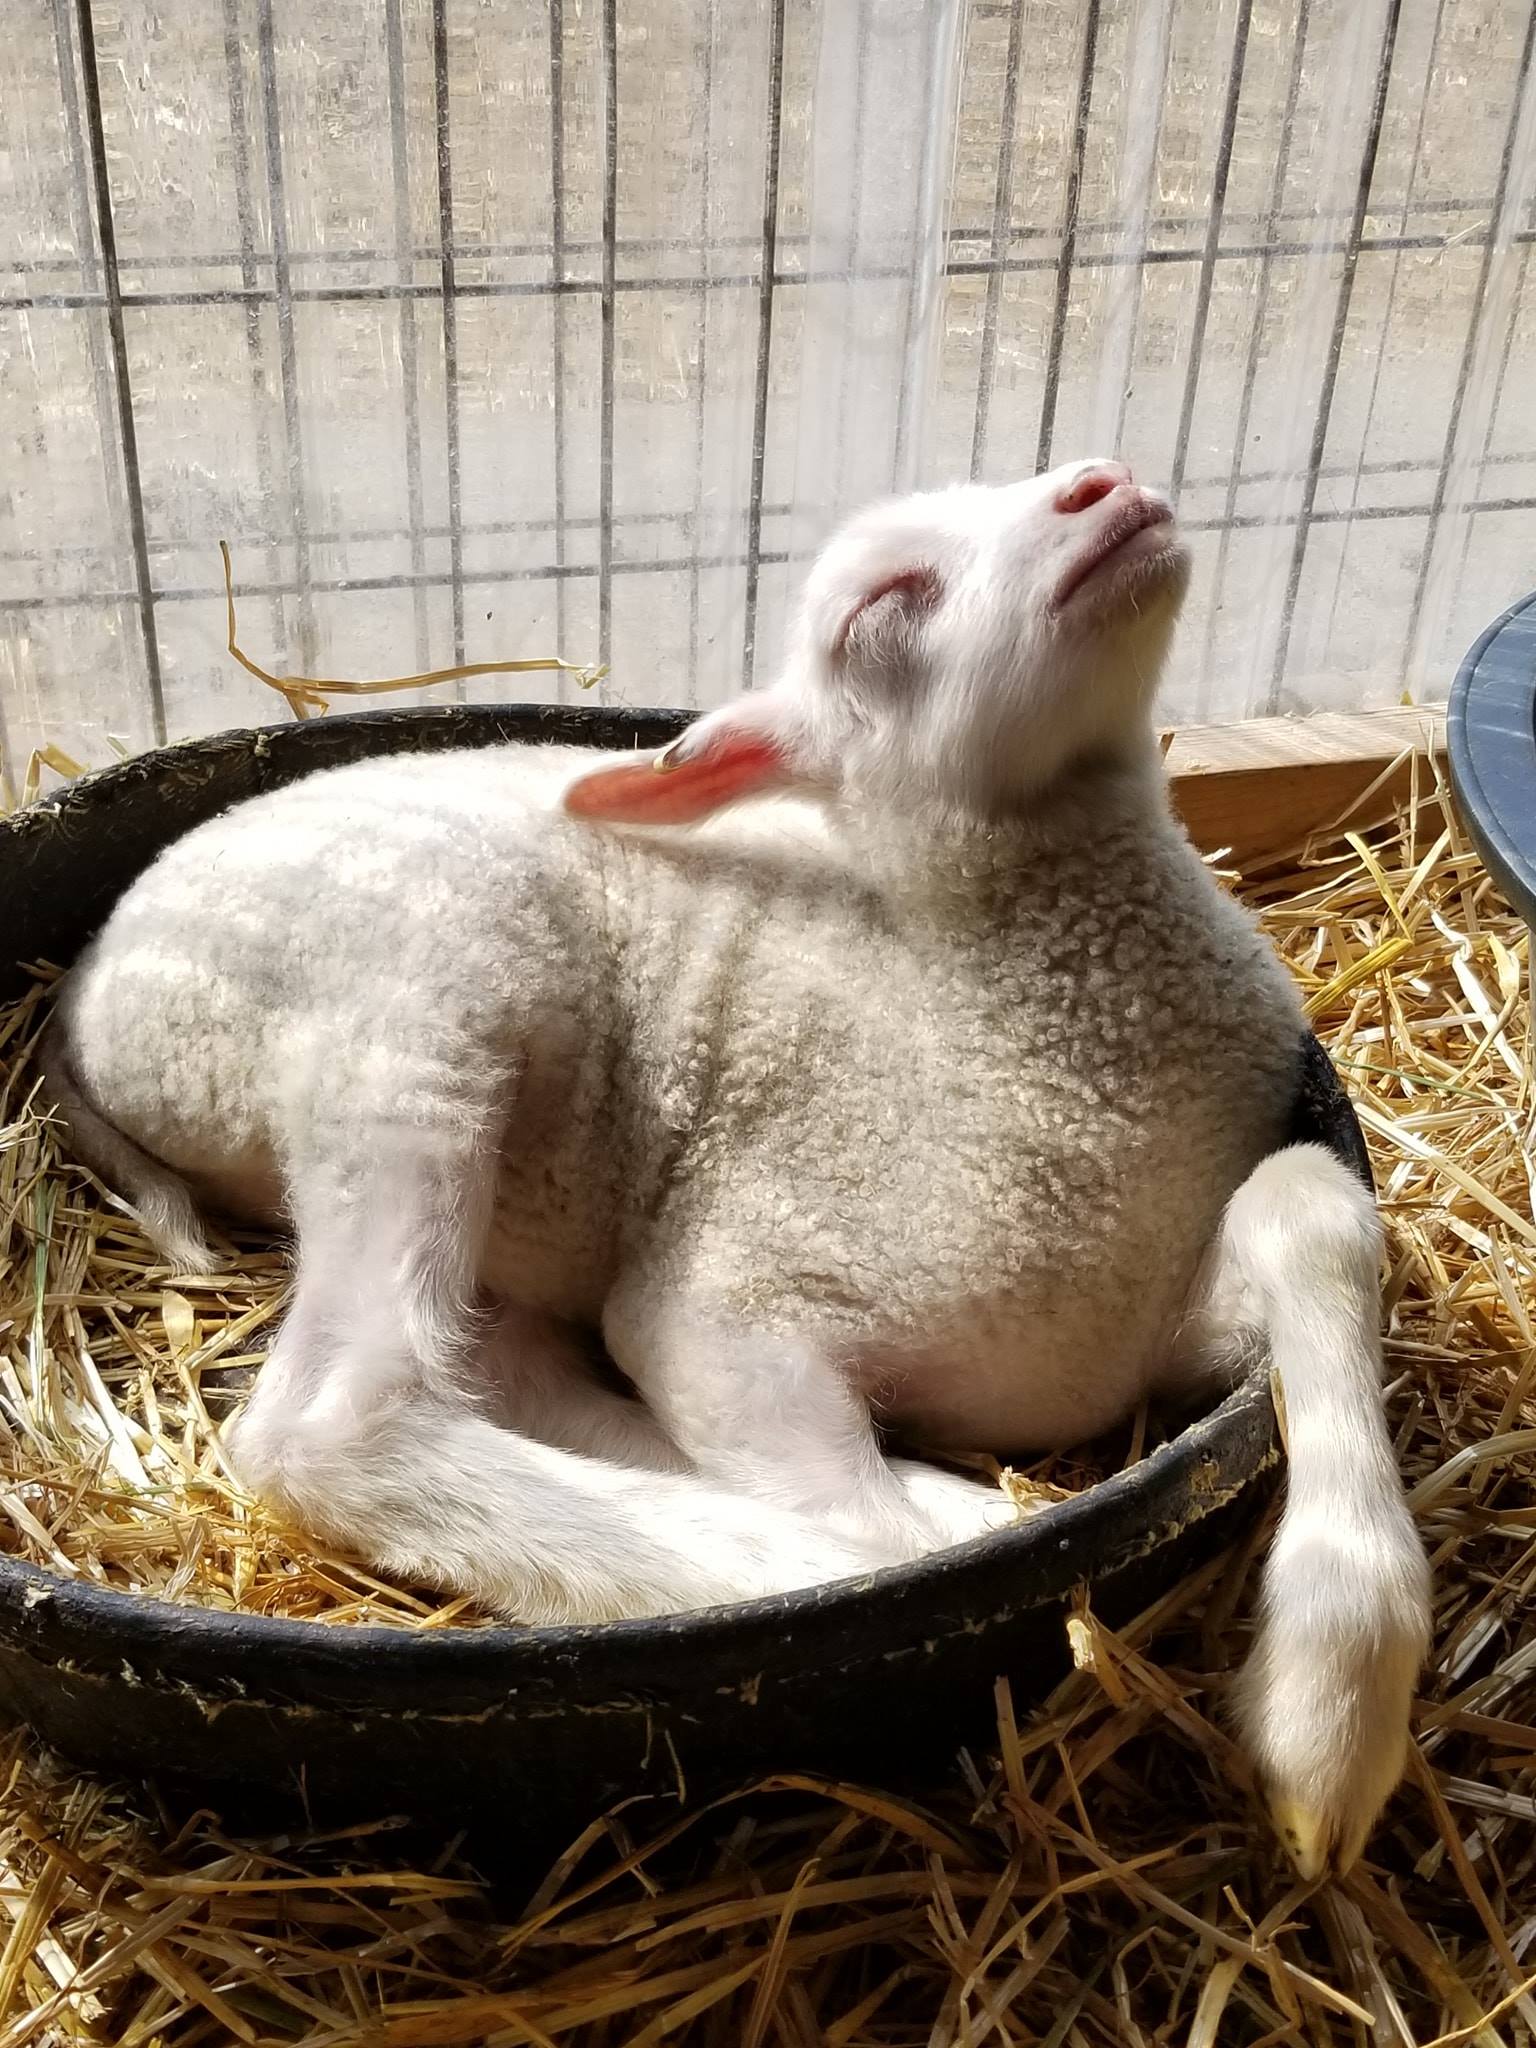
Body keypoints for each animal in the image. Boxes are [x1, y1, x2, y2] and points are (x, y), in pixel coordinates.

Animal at [39, 458, 1430, 1879]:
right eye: (881, 604)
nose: (1104, 483)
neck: (983, 1006)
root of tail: (91, 973)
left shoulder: (1173, 1293)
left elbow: (1312, 1204)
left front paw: (1335, 1710)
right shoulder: (740, 1284)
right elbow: (850, 1512)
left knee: (502, 1358)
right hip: (413, 1005)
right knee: (338, 1412)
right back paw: (783, 1548)